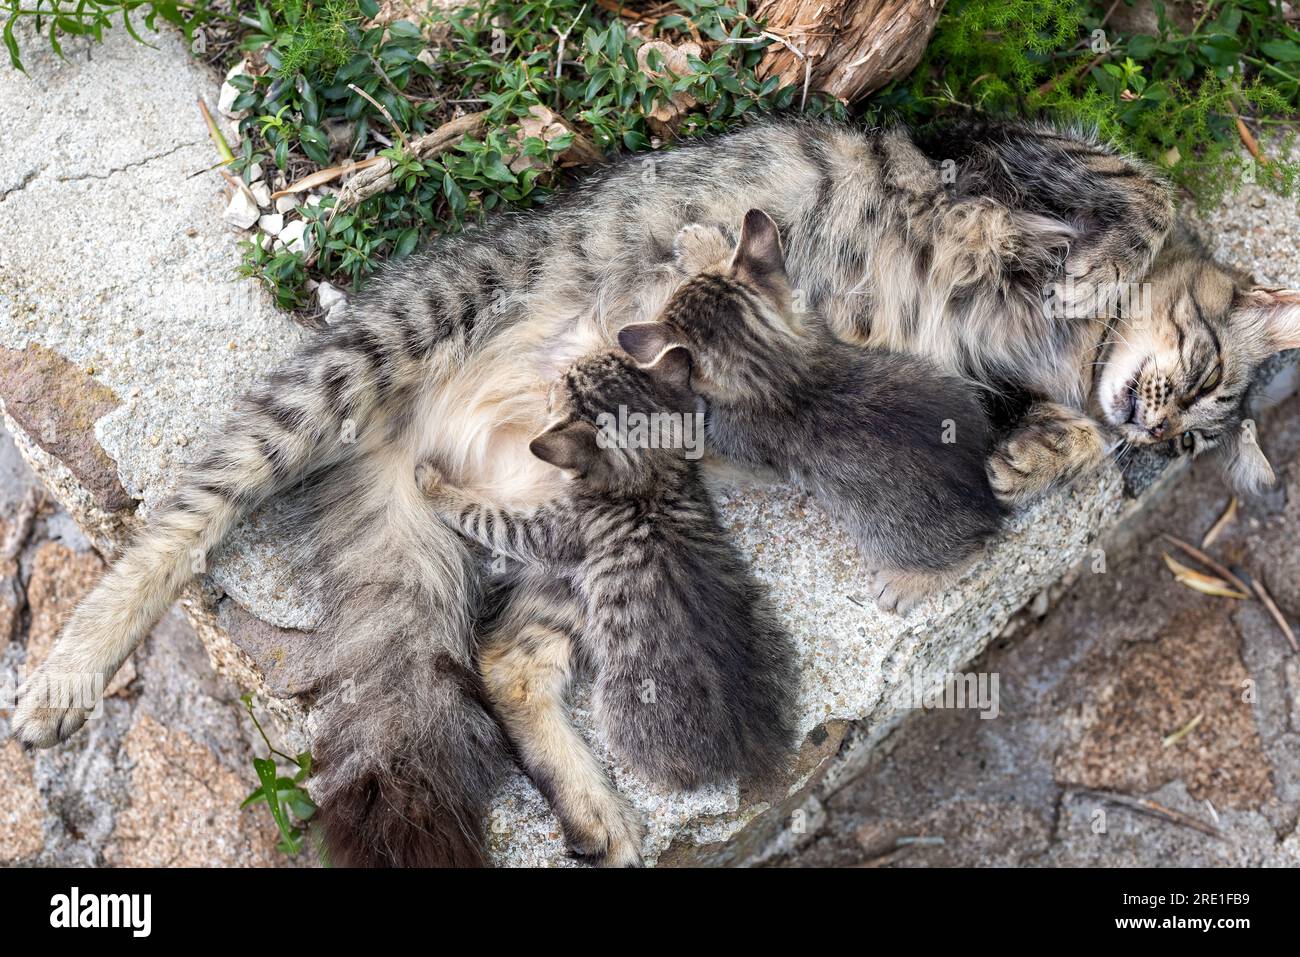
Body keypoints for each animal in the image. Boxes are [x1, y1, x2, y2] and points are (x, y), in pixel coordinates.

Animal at [421, 348, 795, 868]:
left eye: (565, 384)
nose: (555, 372)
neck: (647, 481)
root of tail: (748, 745)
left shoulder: (553, 530)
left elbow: (488, 519)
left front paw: (435, 486)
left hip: (619, 695)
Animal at [618, 210, 1003, 613]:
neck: (777, 367)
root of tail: (985, 500)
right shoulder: (805, 315)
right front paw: (703, 246)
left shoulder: (746, 452)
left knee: (978, 547)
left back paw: (908, 582)